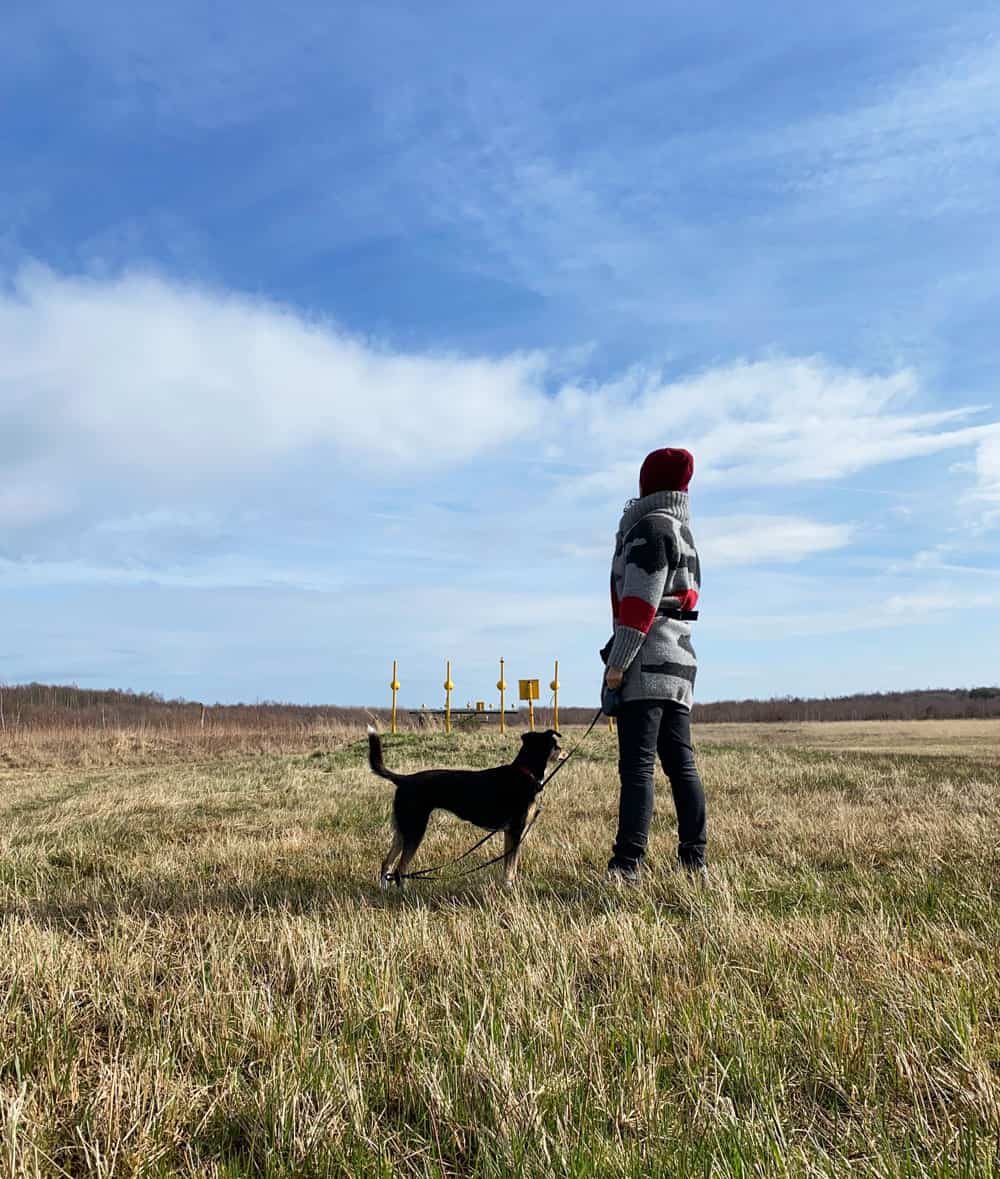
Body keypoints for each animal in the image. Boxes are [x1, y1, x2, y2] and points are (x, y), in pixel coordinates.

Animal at [367, 721, 561, 886]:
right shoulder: (515, 830)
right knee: (400, 869)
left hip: (402, 830)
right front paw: (509, 889)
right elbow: (510, 867)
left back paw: (384, 890)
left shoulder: (509, 833)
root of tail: (404, 779)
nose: (564, 751)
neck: (525, 773)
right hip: (415, 830)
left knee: (387, 863)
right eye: (556, 745)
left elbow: (508, 866)